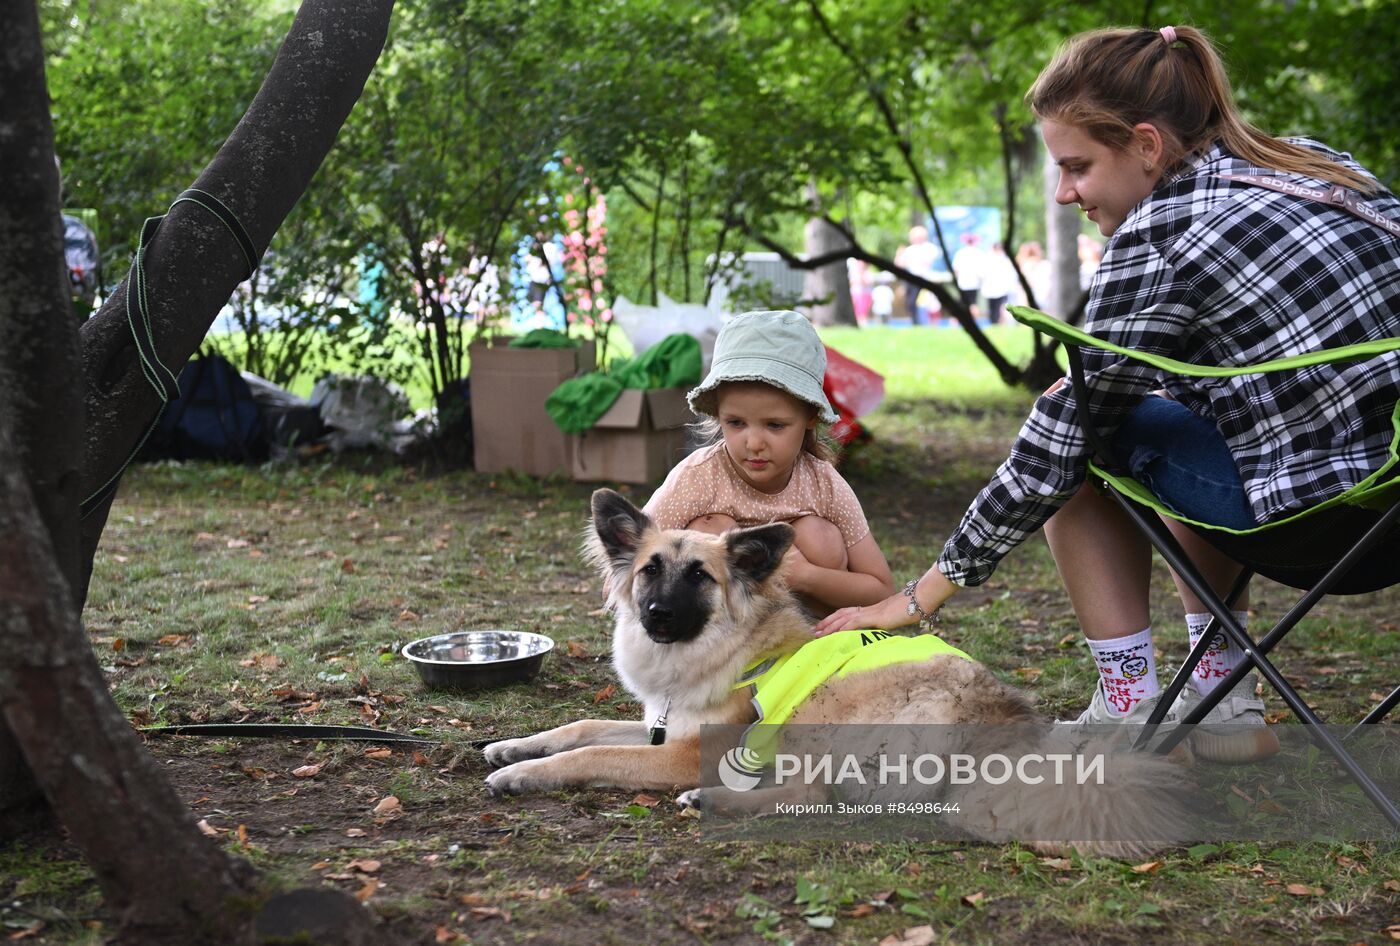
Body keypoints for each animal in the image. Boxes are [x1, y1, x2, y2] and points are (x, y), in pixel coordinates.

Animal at [484, 486, 1192, 856]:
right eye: (649, 570)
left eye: (700, 577)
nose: (655, 615)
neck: (724, 644)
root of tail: (1009, 734)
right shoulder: (667, 724)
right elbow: (583, 727)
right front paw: (512, 746)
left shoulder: (691, 750)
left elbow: (593, 754)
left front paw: (523, 775)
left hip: (817, 716)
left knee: (811, 796)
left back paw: (713, 799)